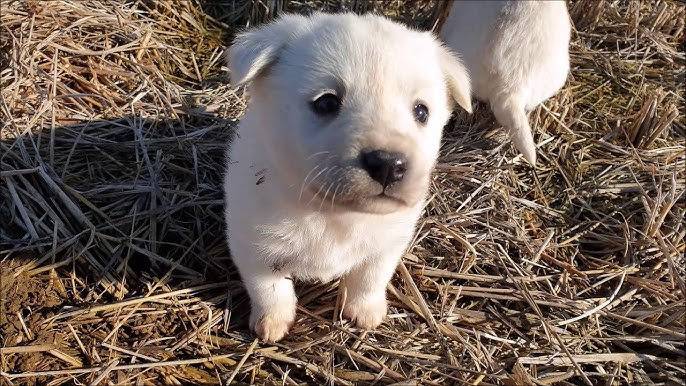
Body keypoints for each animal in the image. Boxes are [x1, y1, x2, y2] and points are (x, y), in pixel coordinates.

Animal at [226, 13, 472, 342]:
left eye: (421, 111)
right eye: (326, 102)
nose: (388, 164)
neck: (334, 215)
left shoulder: (388, 244)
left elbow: (370, 277)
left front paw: (365, 312)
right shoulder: (253, 244)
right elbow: (269, 289)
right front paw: (272, 323)